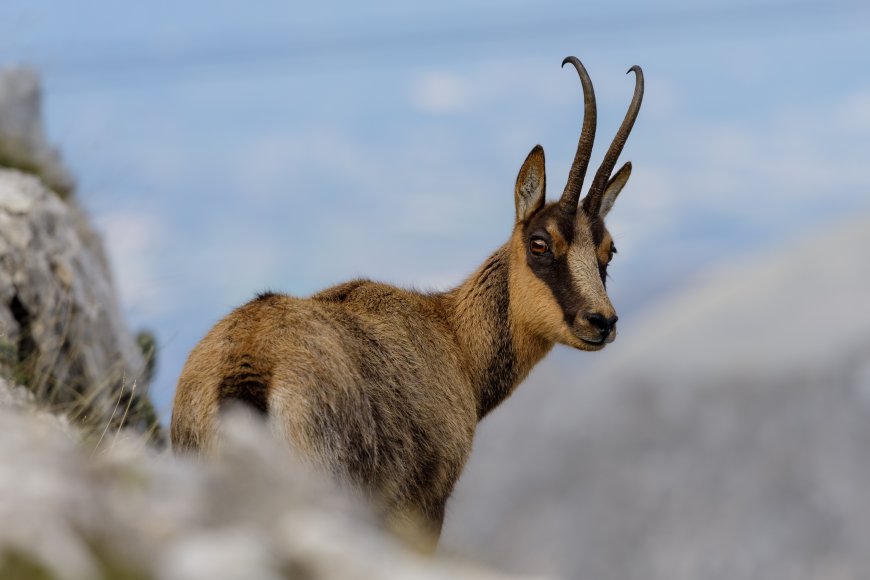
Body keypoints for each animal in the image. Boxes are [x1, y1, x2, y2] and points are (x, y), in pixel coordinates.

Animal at [171, 56, 643, 550]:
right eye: (539, 243)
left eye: (609, 250)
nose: (601, 321)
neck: (453, 339)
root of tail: (250, 362)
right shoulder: (424, 507)